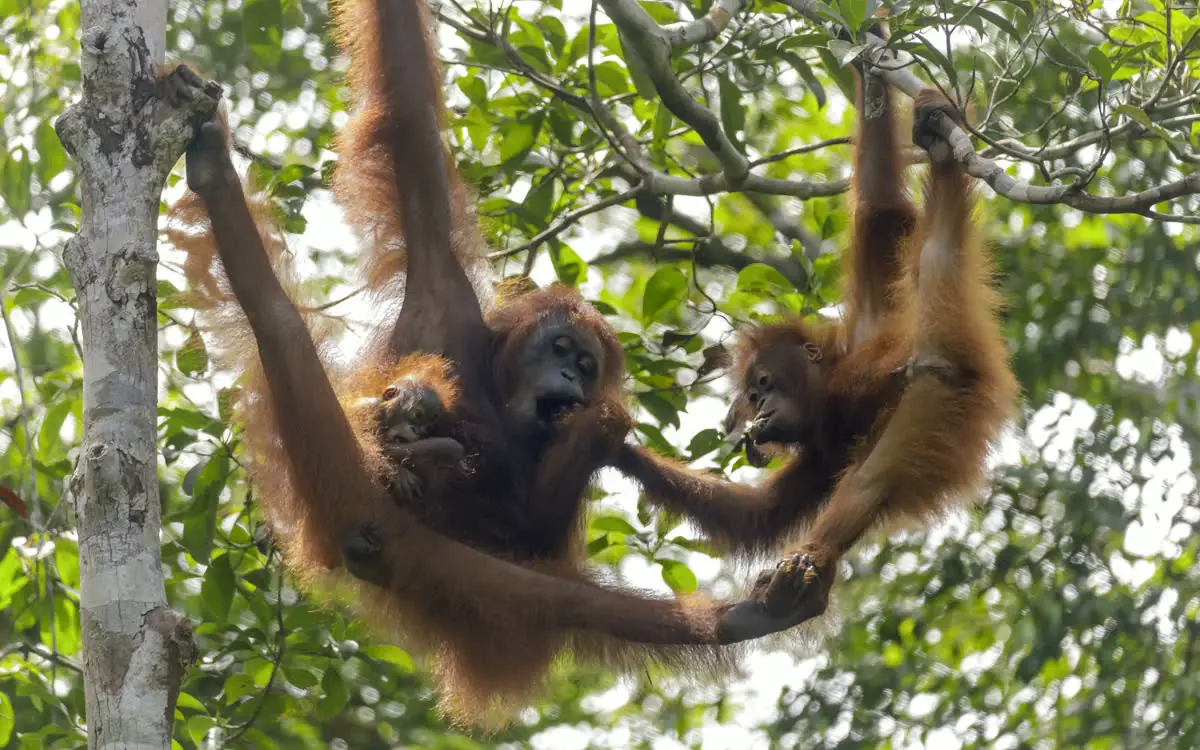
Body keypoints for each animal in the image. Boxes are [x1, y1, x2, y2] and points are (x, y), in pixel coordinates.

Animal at [613, 76, 1019, 641]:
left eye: (763, 384)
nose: (756, 408)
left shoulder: (849, 379)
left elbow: (882, 217)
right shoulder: (820, 452)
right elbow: (758, 515)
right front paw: (616, 447)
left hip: (940, 382)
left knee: (874, 473)